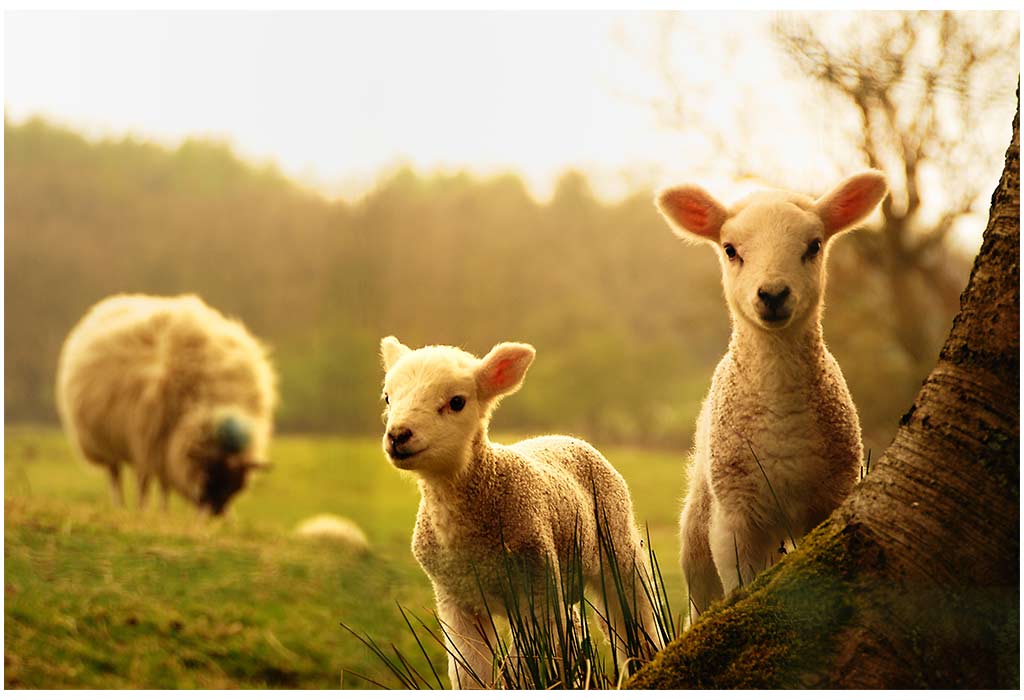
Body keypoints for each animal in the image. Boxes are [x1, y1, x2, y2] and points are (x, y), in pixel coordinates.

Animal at [55, 293, 277, 516]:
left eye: (235, 485)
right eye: (209, 474)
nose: (215, 515)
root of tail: (110, 303)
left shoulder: (165, 446)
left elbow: (165, 484)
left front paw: (164, 513)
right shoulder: (148, 440)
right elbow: (147, 483)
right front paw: (146, 511)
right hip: (104, 443)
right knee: (115, 476)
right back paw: (121, 507)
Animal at [379, 336, 658, 689]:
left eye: (457, 402)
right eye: (388, 397)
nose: (398, 435)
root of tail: (565, 437)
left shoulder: (536, 588)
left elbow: (526, 667)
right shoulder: (456, 600)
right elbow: (469, 672)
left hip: (617, 546)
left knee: (634, 618)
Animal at [654, 171, 888, 621]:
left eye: (814, 246)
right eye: (730, 250)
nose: (774, 294)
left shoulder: (829, 499)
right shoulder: (735, 517)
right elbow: (739, 586)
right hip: (698, 525)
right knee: (699, 598)